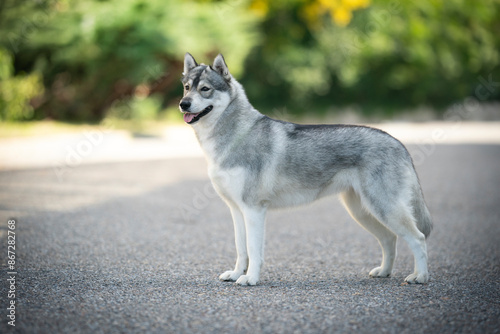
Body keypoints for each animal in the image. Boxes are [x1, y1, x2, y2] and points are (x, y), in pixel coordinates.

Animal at [178, 53, 432, 286]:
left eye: (205, 89)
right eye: (187, 88)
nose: (183, 104)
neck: (235, 136)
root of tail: (398, 142)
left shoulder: (254, 210)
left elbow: (254, 251)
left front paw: (250, 278)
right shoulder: (237, 210)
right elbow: (242, 249)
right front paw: (236, 274)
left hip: (384, 209)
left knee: (418, 239)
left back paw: (420, 276)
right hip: (363, 212)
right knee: (389, 239)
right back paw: (384, 272)